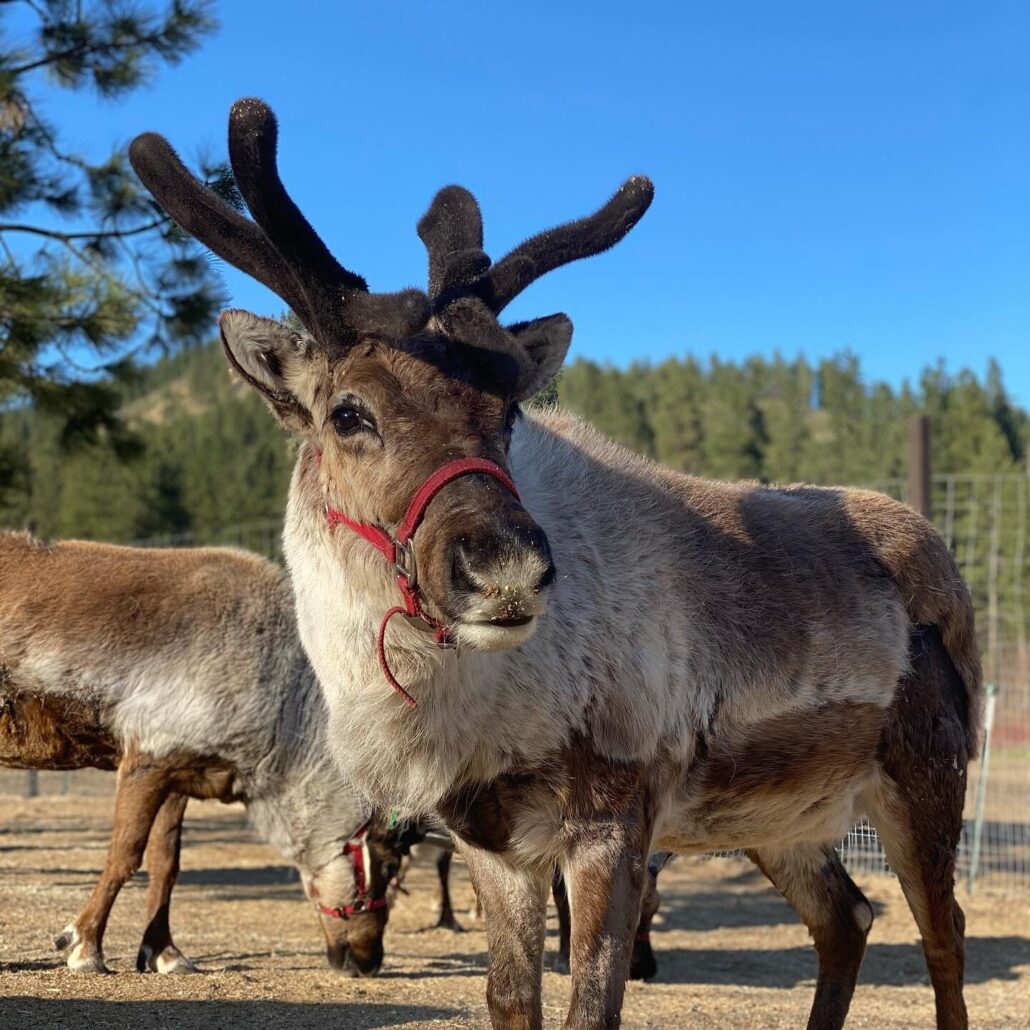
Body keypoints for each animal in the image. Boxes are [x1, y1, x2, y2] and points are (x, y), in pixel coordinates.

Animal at [0, 533, 408, 978]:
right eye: (389, 864)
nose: (371, 960)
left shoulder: (179, 773)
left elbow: (166, 865)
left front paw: (166, 952)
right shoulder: (145, 757)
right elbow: (124, 856)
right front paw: (85, 945)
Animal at [130, 98, 983, 1030]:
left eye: (507, 411)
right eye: (348, 413)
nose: (504, 568)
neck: (454, 702)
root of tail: (943, 572)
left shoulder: (613, 820)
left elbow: (591, 1005)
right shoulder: (492, 840)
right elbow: (508, 997)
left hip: (924, 777)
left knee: (944, 936)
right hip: (778, 818)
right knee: (846, 917)